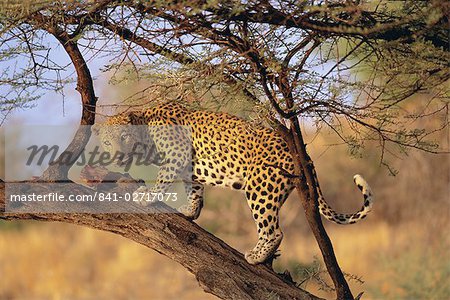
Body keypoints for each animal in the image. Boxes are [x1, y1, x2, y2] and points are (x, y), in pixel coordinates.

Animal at [92, 101, 372, 264]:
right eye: (106, 142)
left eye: (124, 137)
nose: (117, 155)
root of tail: (301, 154)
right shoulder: (188, 165)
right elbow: (193, 188)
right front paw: (190, 210)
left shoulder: (176, 155)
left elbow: (163, 179)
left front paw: (146, 196)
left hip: (260, 186)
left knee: (274, 230)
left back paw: (256, 257)